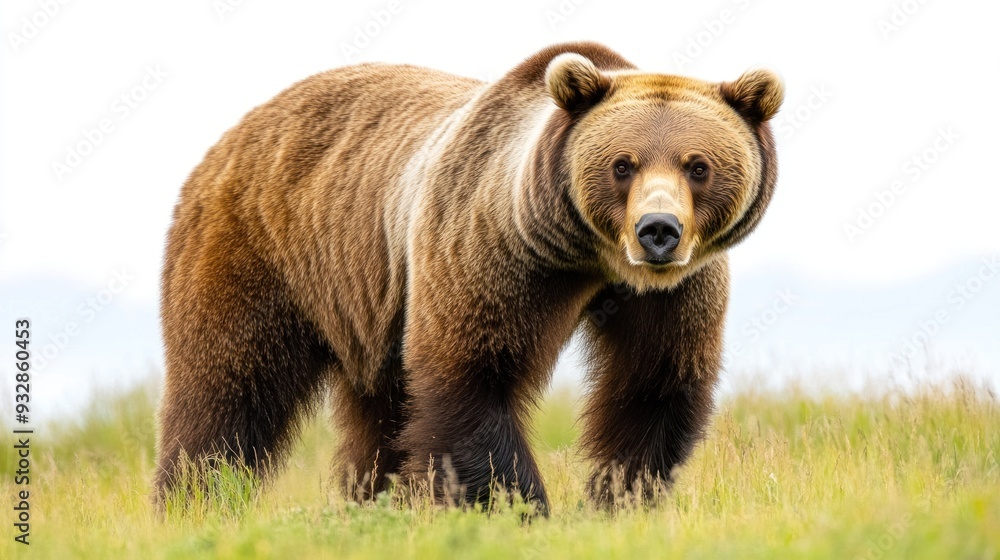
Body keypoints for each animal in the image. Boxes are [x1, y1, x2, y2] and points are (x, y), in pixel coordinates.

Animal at [154, 42, 783, 512]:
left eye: (698, 166)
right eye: (621, 164)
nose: (658, 230)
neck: (589, 259)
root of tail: (239, 129)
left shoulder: (674, 293)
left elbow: (652, 385)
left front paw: (617, 499)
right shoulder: (491, 248)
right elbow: (472, 378)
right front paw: (519, 508)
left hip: (370, 304)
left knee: (380, 415)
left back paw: (373, 501)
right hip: (258, 250)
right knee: (229, 388)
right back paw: (193, 501)